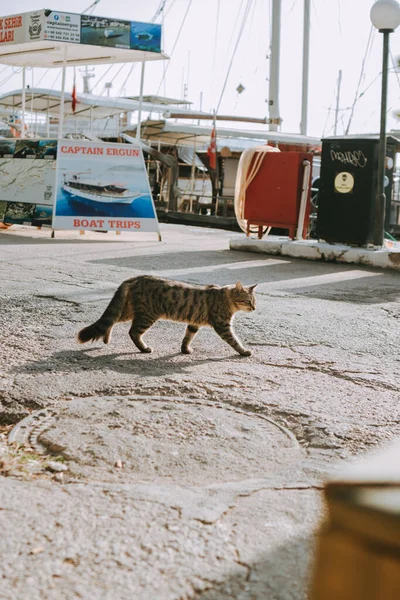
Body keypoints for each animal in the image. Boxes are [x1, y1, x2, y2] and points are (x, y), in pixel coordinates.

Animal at [77, 276, 258, 356]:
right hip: (147, 315)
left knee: (111, 320)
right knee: (132, 332)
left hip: (129, 311)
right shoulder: (223, 325)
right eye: (248, 301)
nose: (254, 308)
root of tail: (135, 278)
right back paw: (144, 348)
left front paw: (185, 349)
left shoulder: (194, 323)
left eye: (254, 302)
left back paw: (106, 337)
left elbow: (187, 337)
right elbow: (234, 341)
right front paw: (244, 351)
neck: (225, 296)